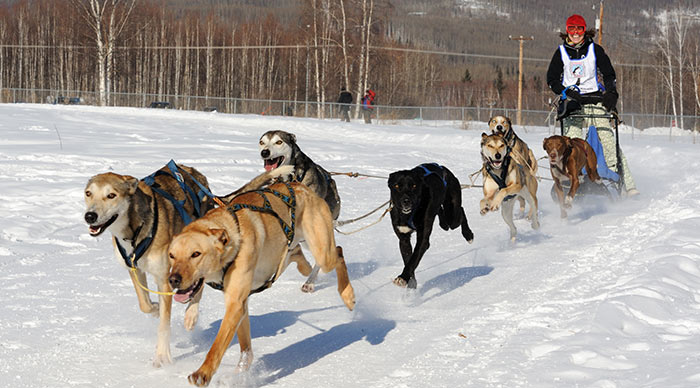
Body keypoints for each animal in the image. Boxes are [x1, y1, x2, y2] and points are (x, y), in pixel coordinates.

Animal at [167, 181, 356, 384]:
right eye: (171, 255)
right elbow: (245, 350)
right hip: (287, 250)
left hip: (322, 251)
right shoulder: (240, 303)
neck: (233, 240)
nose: (173, 279)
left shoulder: (235, 303)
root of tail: (298, 185)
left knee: (338, 252)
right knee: (296, 252)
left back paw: (347, 295)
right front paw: (191, 314)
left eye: (196, 254)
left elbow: (217, 346)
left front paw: (203, 372)